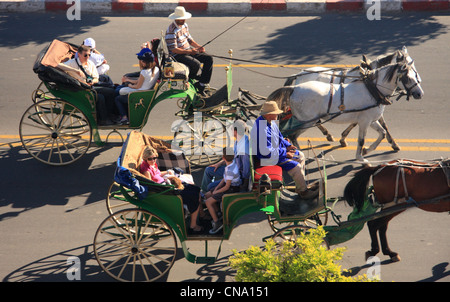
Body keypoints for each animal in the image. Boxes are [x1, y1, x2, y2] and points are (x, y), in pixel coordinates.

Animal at [270, 58, 422, 164]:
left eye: (415, 74)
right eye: (407, 77)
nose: (419, 93)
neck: (373, 90)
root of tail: (294, 88)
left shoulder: (371, 120)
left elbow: (383, 133)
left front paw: (366, 150)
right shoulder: (364, 122)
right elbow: (361, 140)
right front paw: (360, 157)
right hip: (307, 122)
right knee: (293, 135)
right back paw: (300, 153)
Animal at [284, 47, 414, 151]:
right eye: (408, 69)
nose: (417, 92)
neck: (369, 79)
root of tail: (299, 74)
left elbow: (381, 125)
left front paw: (393, 143)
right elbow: (364, 123)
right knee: (313, 122)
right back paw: (327, 134)